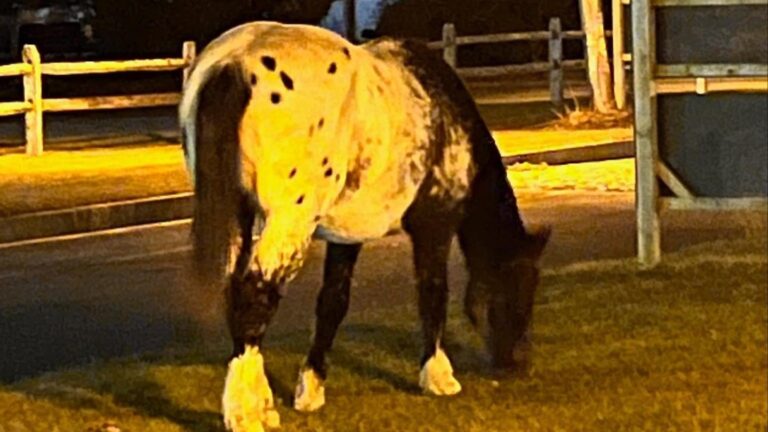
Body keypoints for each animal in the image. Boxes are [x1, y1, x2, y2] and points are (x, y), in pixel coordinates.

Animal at [179, 21, 550, 431]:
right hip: (290, 221)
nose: (517, 363)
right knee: (254, 293)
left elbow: (333, 303)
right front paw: (439, 378)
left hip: (240, 212)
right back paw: (244, 414)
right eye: (521, 283)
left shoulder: (345, 236)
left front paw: (310, 392)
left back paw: (262, 406)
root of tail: (235, 64)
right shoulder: (435, 224)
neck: (443, 113)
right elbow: (433, 293)